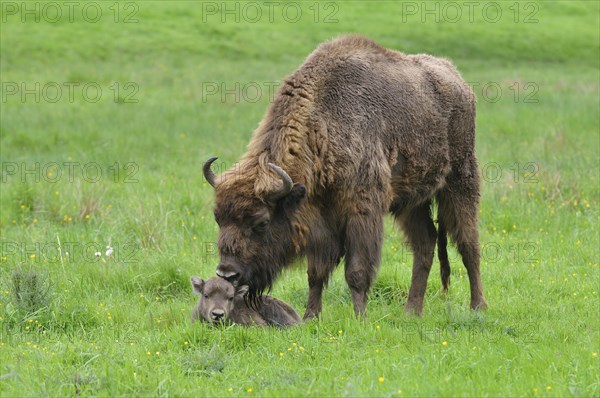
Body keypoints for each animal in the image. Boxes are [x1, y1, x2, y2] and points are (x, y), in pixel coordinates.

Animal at [204, 35, 486, 318]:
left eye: (262, 222)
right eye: (218, 217)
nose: (227, 274)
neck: (322, 125)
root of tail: (459, 82)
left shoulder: (361, 212)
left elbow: (356, 271)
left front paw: (360, 317)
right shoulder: (320, 221)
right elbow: (316, 274)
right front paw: (310, 317)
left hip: (460, 182)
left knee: (468, 244)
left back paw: (478, 307)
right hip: (411, 202)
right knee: (425, 243)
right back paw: (412, 311)